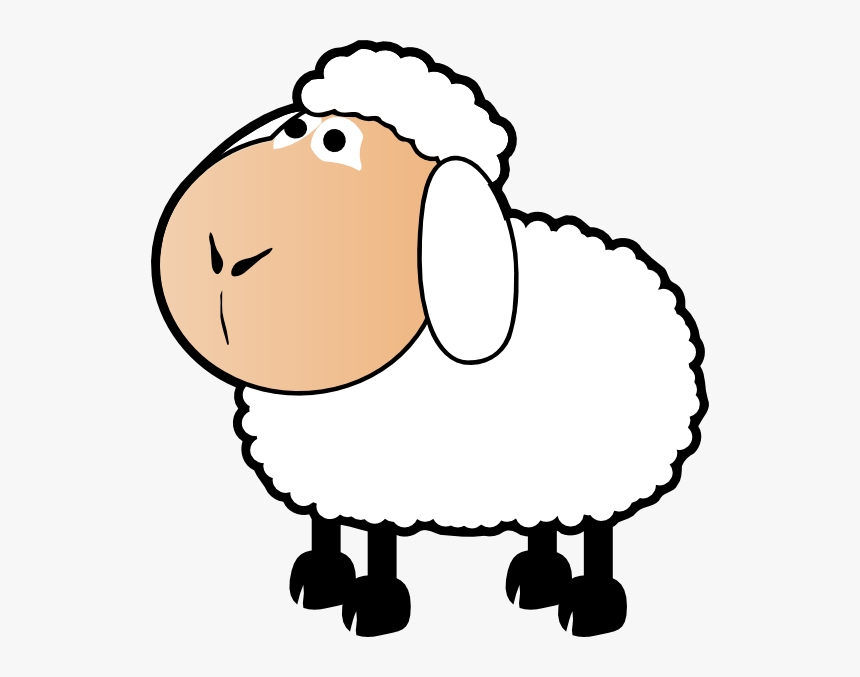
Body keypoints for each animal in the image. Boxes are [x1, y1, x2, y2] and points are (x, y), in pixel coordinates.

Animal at [151, 41, 708, 638]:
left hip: (607, 459)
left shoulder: (384, 473)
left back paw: (589, 606)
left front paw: (373, 606)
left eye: (336, 142)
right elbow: (326, 523)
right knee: (545, 521)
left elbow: (379, 542)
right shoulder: (328, 469)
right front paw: (321, 580)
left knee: (597, 531)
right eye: (294, 128)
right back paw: (536, 580)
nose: (224, 259)